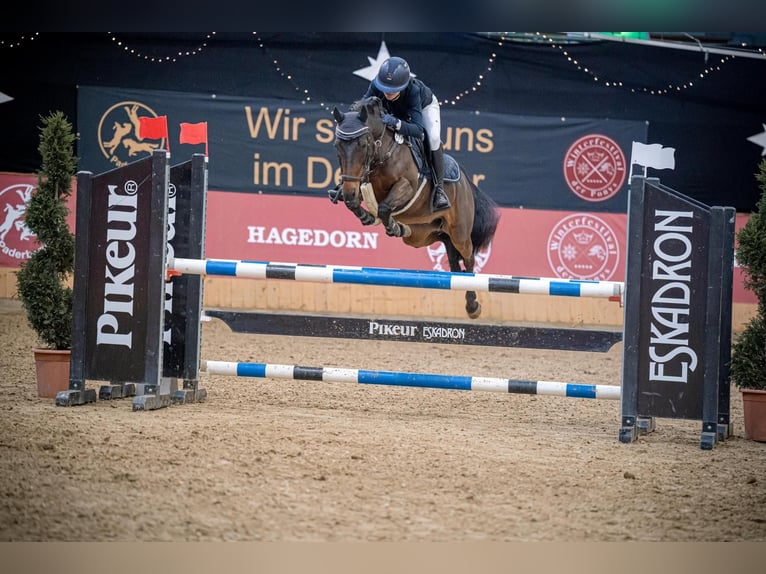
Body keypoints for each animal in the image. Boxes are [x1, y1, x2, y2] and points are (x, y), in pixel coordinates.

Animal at [332, 95, 500, 320]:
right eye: (337, 145)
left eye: (363, 144)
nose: (349, 189)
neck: (382, 153)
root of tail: (465, 180)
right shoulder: (359, 181)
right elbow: (355, 203)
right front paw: (367, 216)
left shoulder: (407, 187)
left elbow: (384, 207)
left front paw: (390, 225)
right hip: (424, 235)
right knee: (449, 255)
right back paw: (403, 228)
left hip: (460, 232)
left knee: (469, 258)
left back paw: (473, 306)